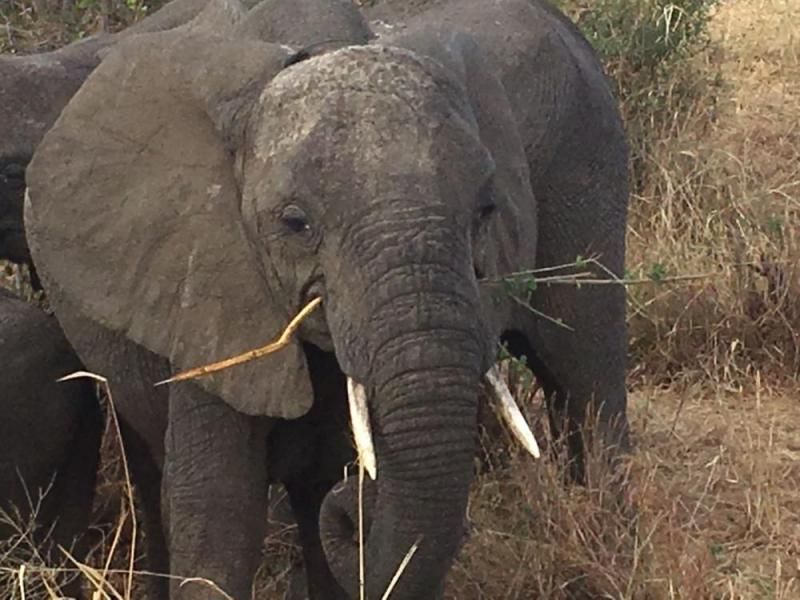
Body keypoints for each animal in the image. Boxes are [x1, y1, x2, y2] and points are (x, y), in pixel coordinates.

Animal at [23, 0, 632, 598]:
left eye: (485, 211)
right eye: (295, 223)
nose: (357, 511)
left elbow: (319, 491)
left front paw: (343, 494)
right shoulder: (205, 280)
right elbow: (221, 512)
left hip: (588, 167)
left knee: (587, 376)